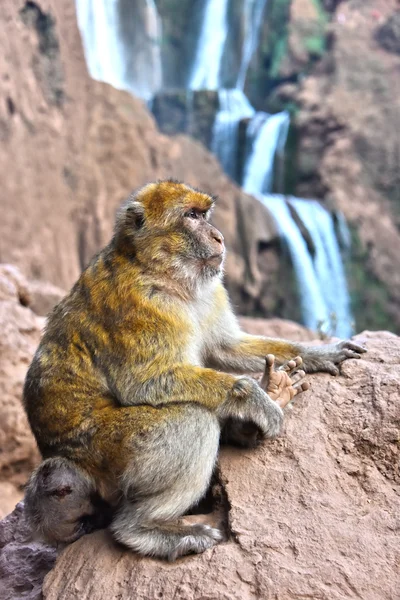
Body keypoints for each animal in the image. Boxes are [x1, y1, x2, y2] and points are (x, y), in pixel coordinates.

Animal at [21, 180, 366, 560]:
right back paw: (146, 529)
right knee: (193, 420)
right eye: (191, 216)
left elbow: (226, 347)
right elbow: (144, 383)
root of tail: (63, 458)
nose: (219, 237)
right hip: (104, 451)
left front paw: (317, 353)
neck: (162, 273)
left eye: (204, 214)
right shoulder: (140, 305)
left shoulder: (210, 290)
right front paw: (256, 398)